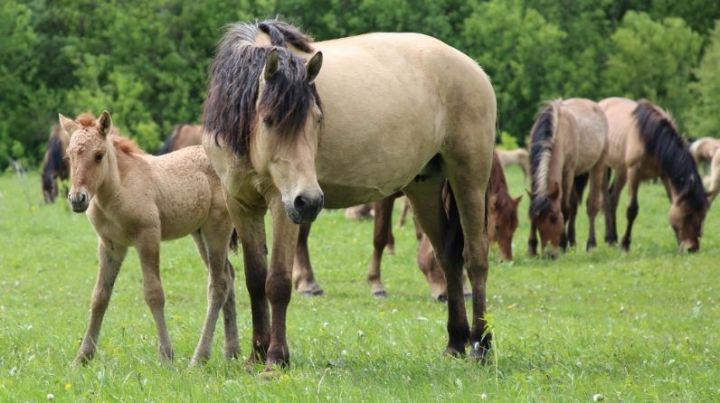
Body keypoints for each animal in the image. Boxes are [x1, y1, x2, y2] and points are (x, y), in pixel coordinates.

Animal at [59, 110, 238, 366]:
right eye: (70, 155)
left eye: (99, 155)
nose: (77, 199)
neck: (117, 190)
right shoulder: (110, 245)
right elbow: (99, 297)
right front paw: (83, 357)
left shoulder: (148, 237)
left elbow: (154, 294)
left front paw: (166, 355)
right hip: (200, 234)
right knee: (229, 276)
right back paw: (231, 352)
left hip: (217, 229)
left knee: (219, 284)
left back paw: (199, 358)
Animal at [201, 20, 496, 370]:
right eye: (269, 120)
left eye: (317, 119)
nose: (310, 201)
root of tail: (474, 69)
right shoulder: (241, 205)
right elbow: (255, 280)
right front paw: (256, 354)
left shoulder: (281, 204)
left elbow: (278, 282)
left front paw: (275, 358)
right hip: (424, 186)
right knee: (449, 258)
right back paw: (455, 342)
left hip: (470, 179)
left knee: (475, 258)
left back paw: (481, 345)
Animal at [524, 98, 612, 258]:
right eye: (537, 219)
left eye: (553, 218)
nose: (549, 254)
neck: (558, 131)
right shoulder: (533, 169)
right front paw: (531, 247)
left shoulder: (568, 172)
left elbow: (565, 209)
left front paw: (562, 244)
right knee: (575, 206)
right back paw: (573, 241)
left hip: (598, 165)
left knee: (594, 205)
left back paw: (593, 243)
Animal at [600, 98, 708, 251]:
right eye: (688, 214)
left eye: (703, 215)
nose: (692, 248)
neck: (650, 136)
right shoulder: (634, 172)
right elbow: (632, 210)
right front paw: (625, 244)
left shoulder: (664, 175)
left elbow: (672, 202)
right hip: (606, 167)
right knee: (606, 198)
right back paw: (610, 238)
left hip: (622, 170)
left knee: (612, 198)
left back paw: (612, 238)